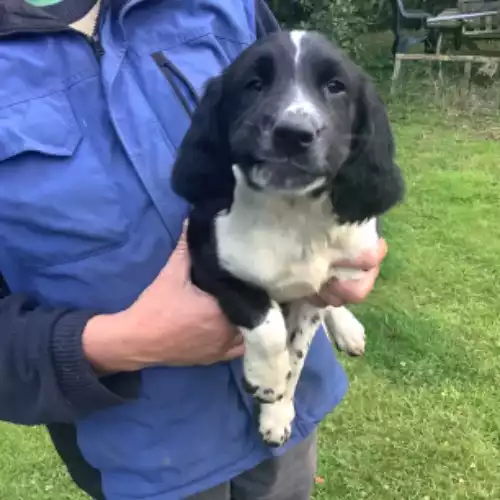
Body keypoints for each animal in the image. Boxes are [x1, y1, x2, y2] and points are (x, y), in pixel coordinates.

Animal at [170, 30, 404, 446]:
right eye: (254, 84)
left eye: (335, 86)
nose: (293, 134)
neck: (293, 214)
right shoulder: (207, 260)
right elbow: (266, 321)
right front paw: (267, 381)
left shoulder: (313, 294)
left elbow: (298, 353)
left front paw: (277, 411)